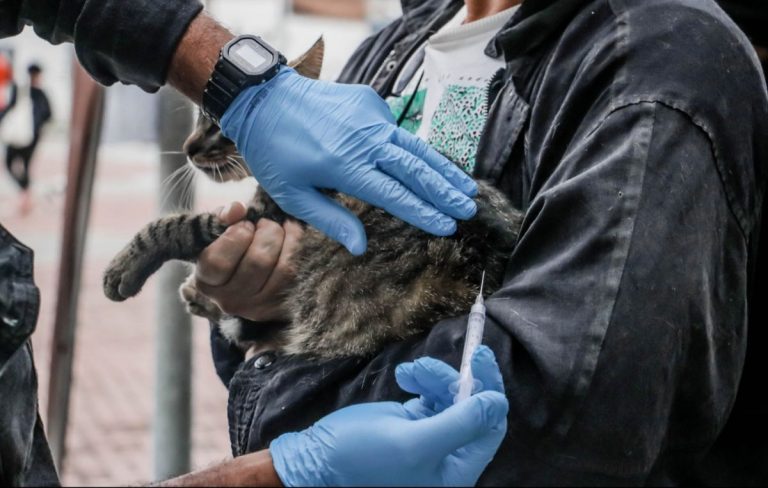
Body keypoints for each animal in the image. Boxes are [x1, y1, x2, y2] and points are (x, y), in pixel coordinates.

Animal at [102, 39, 524, 358]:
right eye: (198, 115)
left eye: (223, 123)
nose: (188, 148)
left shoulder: (263, 217)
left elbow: (177, 224)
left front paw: (126, 266)